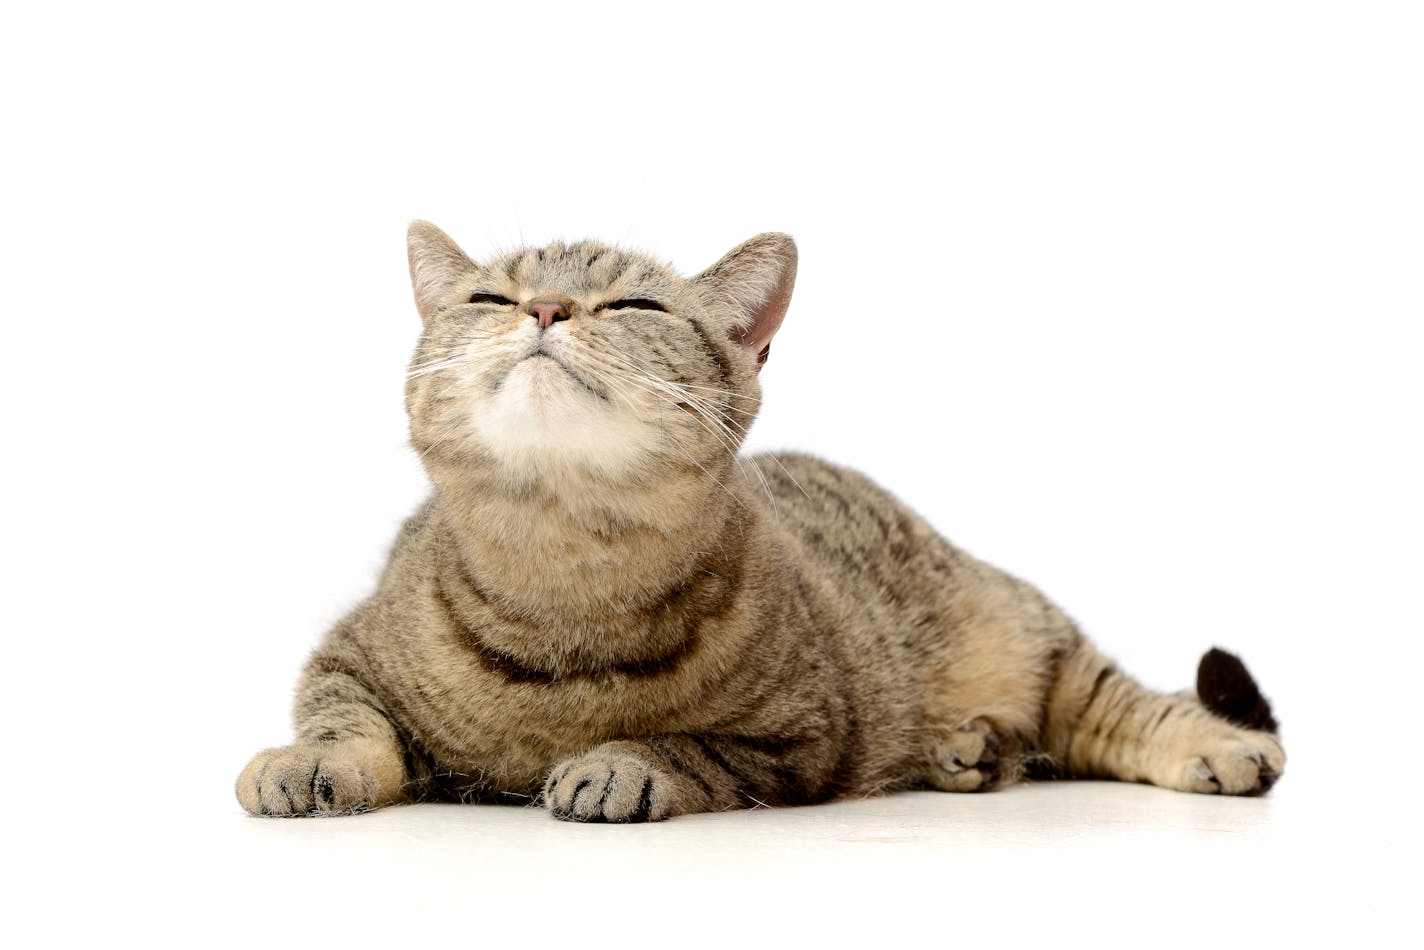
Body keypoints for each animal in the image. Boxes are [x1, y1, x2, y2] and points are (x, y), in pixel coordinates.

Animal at [233, 220, 1281, 820]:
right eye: (490, 296)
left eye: (634, 303)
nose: (547, 307)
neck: (562, 566)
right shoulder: (347, 649)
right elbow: (342, 716)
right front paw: (312, 762)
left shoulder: (801, 737)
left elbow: (686, 747)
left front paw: (619, 763)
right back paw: (973, 750)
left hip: (1037, 641)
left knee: (1129, 708)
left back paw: (1218, 747)